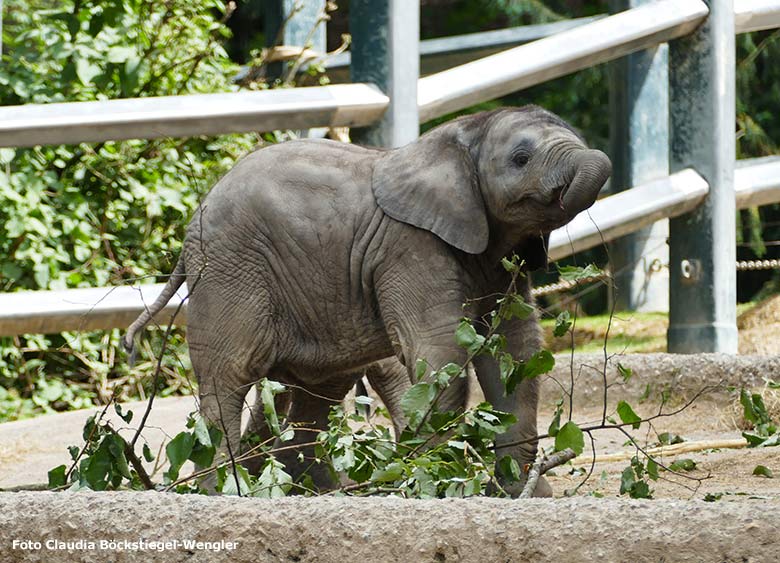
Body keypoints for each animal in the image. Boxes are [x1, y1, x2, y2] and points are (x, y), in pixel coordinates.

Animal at [123, 106, 608, 498]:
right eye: (521, 159)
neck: (461, 136)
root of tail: (194, 223)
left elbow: (516, 352)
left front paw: (523, 493)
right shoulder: (408, 247)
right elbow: (441, 351)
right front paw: (442, 485)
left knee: (316, 390)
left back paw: (312, 489)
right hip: (228, 271)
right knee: (230, 375)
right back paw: (228, 489)